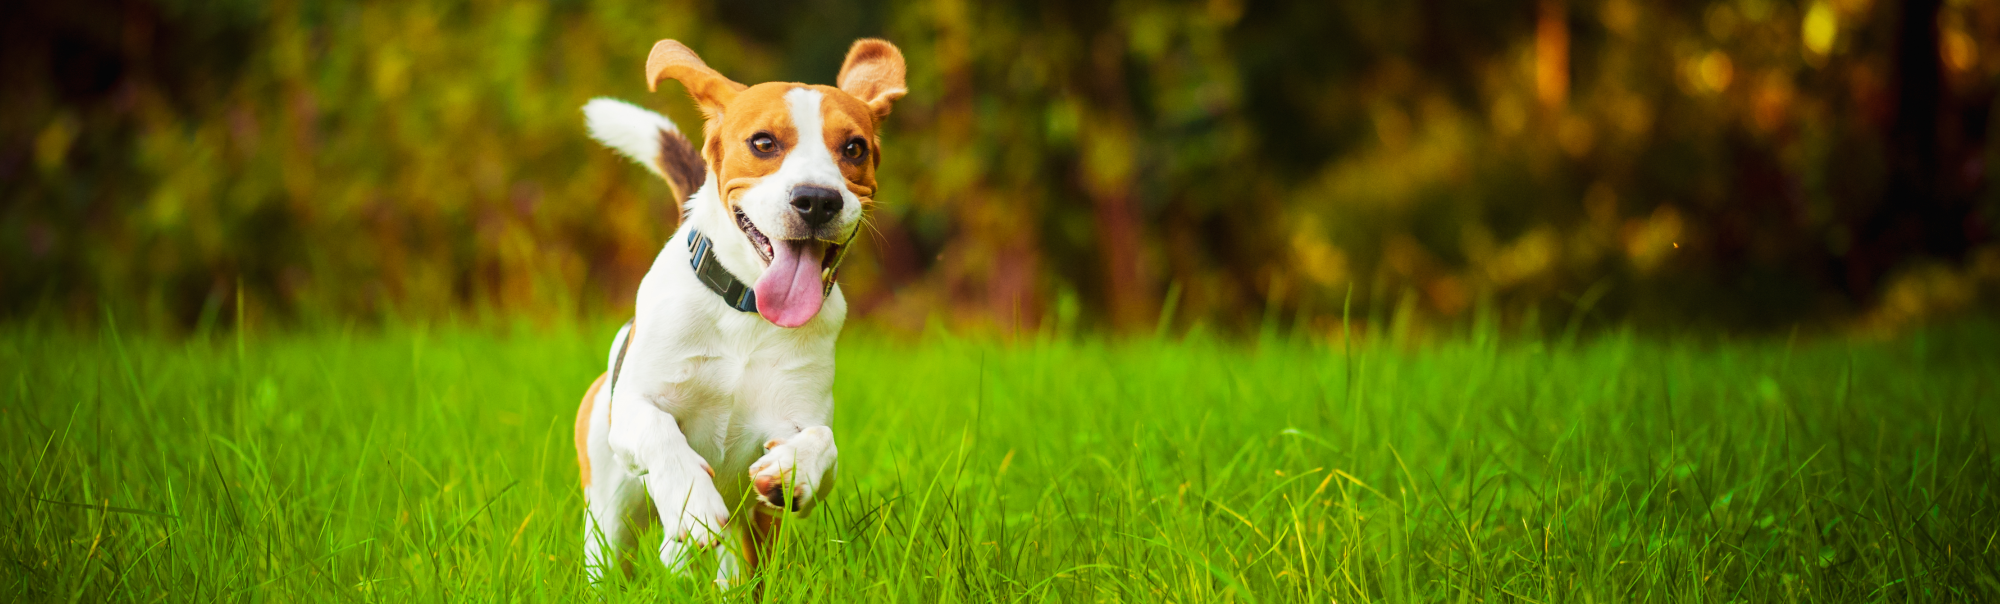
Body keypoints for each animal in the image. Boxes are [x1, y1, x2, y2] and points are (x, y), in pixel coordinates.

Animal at [568, 37, 904, 584]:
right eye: (763, 143)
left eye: (854, 148)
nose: (817, 200)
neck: (747, 312)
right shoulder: (635, 411)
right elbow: (659, 429)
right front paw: (693, 504)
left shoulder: (796, 420)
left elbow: (822, 441)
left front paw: (790, 472)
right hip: (608, 507)